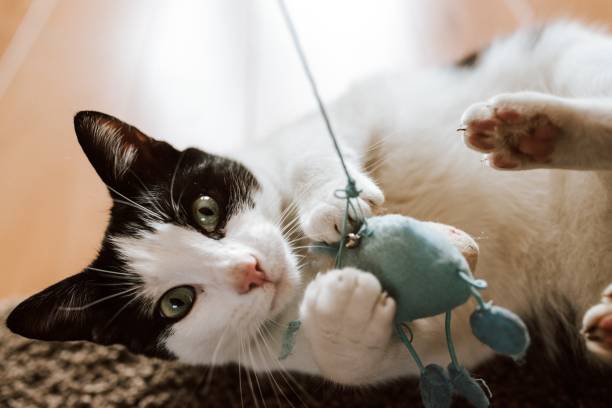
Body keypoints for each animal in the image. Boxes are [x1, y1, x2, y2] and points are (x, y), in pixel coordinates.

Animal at [7, 22, 612, 386]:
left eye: (206, 211)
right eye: (176, 304)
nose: (250, 269)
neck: (306, 261)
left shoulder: (357, 107)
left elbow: (310, 147)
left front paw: (329, 204)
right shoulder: (446, 344)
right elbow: (362, 363)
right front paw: (344, 310)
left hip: (568, 56)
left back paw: (532, 128)